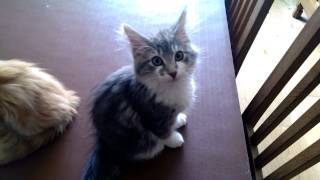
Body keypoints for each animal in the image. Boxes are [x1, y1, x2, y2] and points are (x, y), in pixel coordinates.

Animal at [82, 10, 198, 180]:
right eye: (156, 61)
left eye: (179, 56)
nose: (173, 72)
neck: (173, 87)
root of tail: (103, 142)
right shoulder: (152, 114)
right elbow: (163, 131)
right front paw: (173, 139)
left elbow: (174, 118)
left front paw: (178, 120)